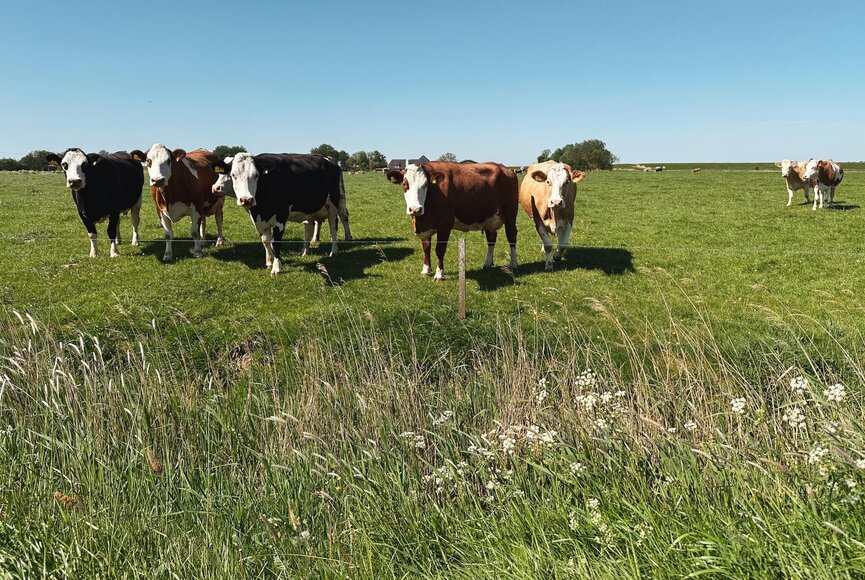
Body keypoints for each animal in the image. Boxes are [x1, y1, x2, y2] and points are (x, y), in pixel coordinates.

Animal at [210, 152, 343, 276]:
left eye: (256, 175)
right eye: (233, 175)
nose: (246, 199)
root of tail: (329, 159)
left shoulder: (281, 217)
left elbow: (276, 242)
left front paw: (277, 268)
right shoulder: (258, 220)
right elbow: (265, 241)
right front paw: (269, 262)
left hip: (333, 203)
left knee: (333, 227)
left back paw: (334, 251)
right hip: (310, 210)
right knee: (309, 228)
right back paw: (305, 252)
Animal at [385, 162, 518, 281]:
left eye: (426, 184)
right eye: (404, 184)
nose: (415, 209)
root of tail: (504, 168)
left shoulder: (445, 224)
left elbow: (440, 249)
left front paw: (439, 274)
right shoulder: (424, 227)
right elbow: (426, 248)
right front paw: (426, 270)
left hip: (510, 215)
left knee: (511, 237)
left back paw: (513, 263)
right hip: (489, 218)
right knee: (491, 239)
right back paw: (488, 263)